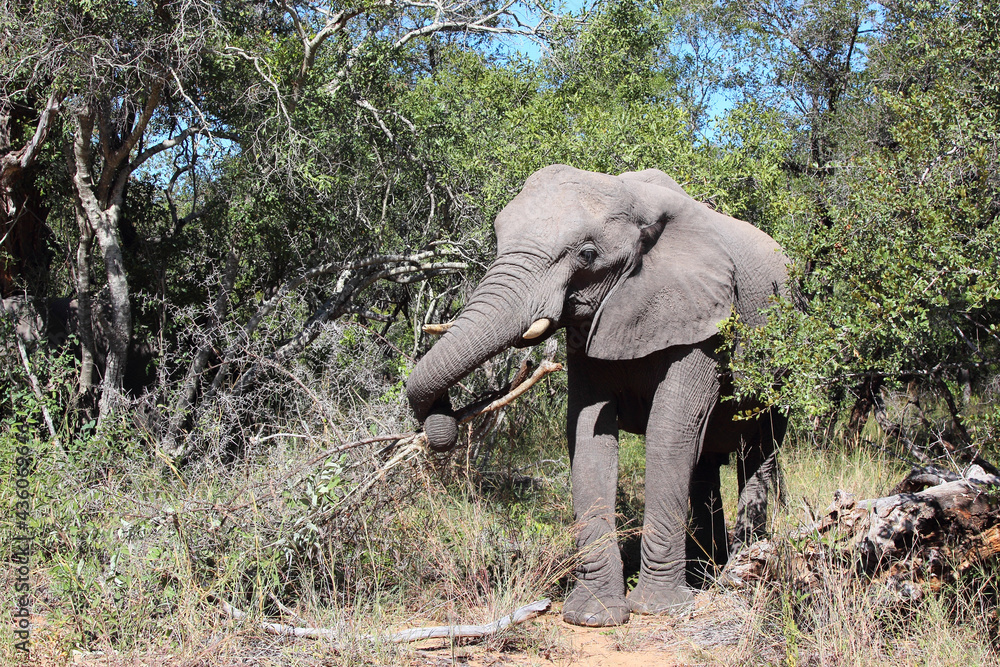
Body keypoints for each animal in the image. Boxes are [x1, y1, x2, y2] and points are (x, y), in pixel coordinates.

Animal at [406, 164, 790, 627]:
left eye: (587, 255)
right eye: (498, 239)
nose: (443, 423)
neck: (634, 198)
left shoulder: (705, 321)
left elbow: (670, 433)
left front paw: (659, 609)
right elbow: (588, 433)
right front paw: (595, 615)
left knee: (759, 450)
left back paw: (741, 565)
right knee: (706, 462)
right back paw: (706, 568)